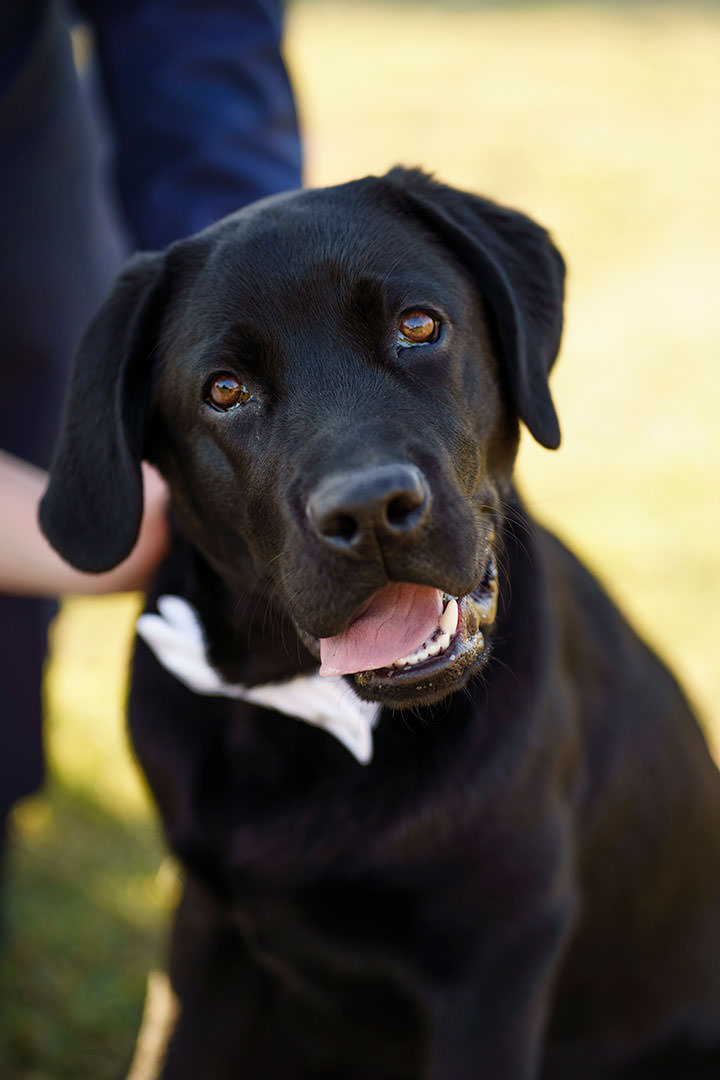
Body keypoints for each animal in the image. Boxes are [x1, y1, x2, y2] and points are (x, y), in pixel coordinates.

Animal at [38, 170, 720, 1080]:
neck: (306, 723)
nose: (367, 510)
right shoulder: (205, 931)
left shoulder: (496, 961)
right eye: (224, 391)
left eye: (418, 326)